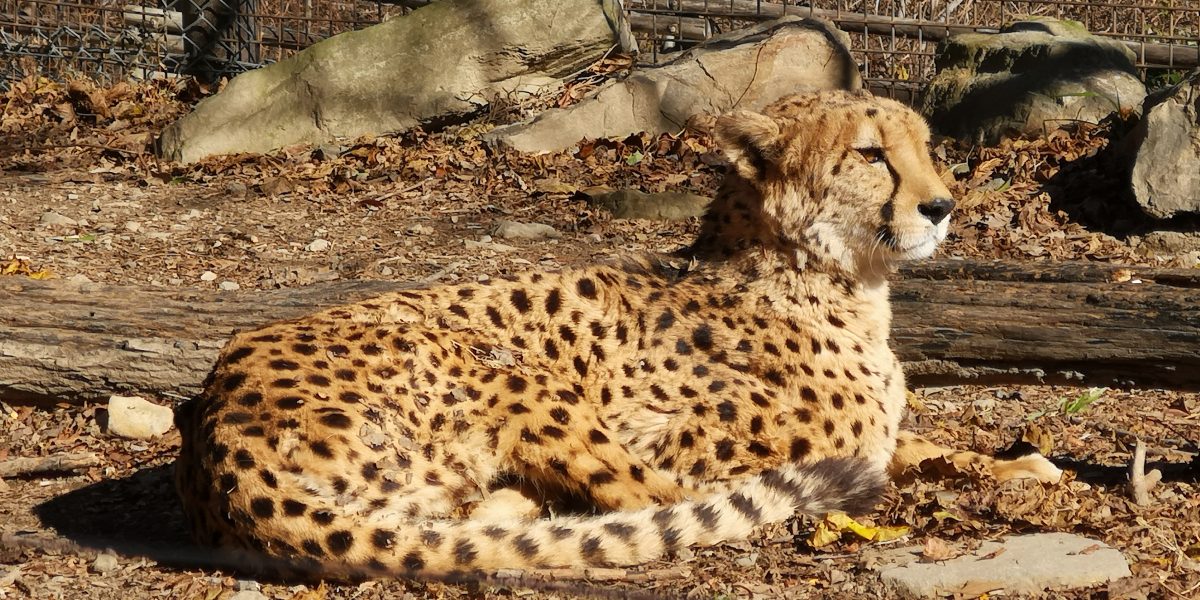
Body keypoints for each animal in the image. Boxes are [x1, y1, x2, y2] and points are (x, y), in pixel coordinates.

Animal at [174, 91, 1056, 578]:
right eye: (872, 154)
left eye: (926, 148)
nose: (942, 205)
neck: (833, 276)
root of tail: (217, 443)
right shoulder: (677, 437)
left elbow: (925, 441)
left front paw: (1025, 467)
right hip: (500, 362)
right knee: (653, 503)